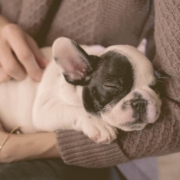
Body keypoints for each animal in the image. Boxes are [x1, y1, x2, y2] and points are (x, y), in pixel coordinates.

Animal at [0, 37, 162, 143]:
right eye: (112, 86)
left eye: (155, 86)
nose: (140, 102)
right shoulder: (44, 108)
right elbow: (73, 109)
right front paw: (98, 124)